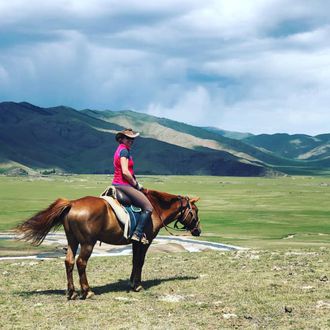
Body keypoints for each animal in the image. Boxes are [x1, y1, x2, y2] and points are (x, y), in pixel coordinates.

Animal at [15, 188, 200, 300]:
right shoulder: (144, 242)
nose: (198, 231)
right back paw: (87, 291)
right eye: (196, 211)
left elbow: (134, 261)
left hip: (72, 240)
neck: (155, 209)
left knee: (69, 261)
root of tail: (72, 204)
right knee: (81, 262)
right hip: (87, 243)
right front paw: (137, 285)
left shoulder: (135, 242)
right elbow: (140, 261)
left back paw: (72, 293)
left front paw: (131, 283)